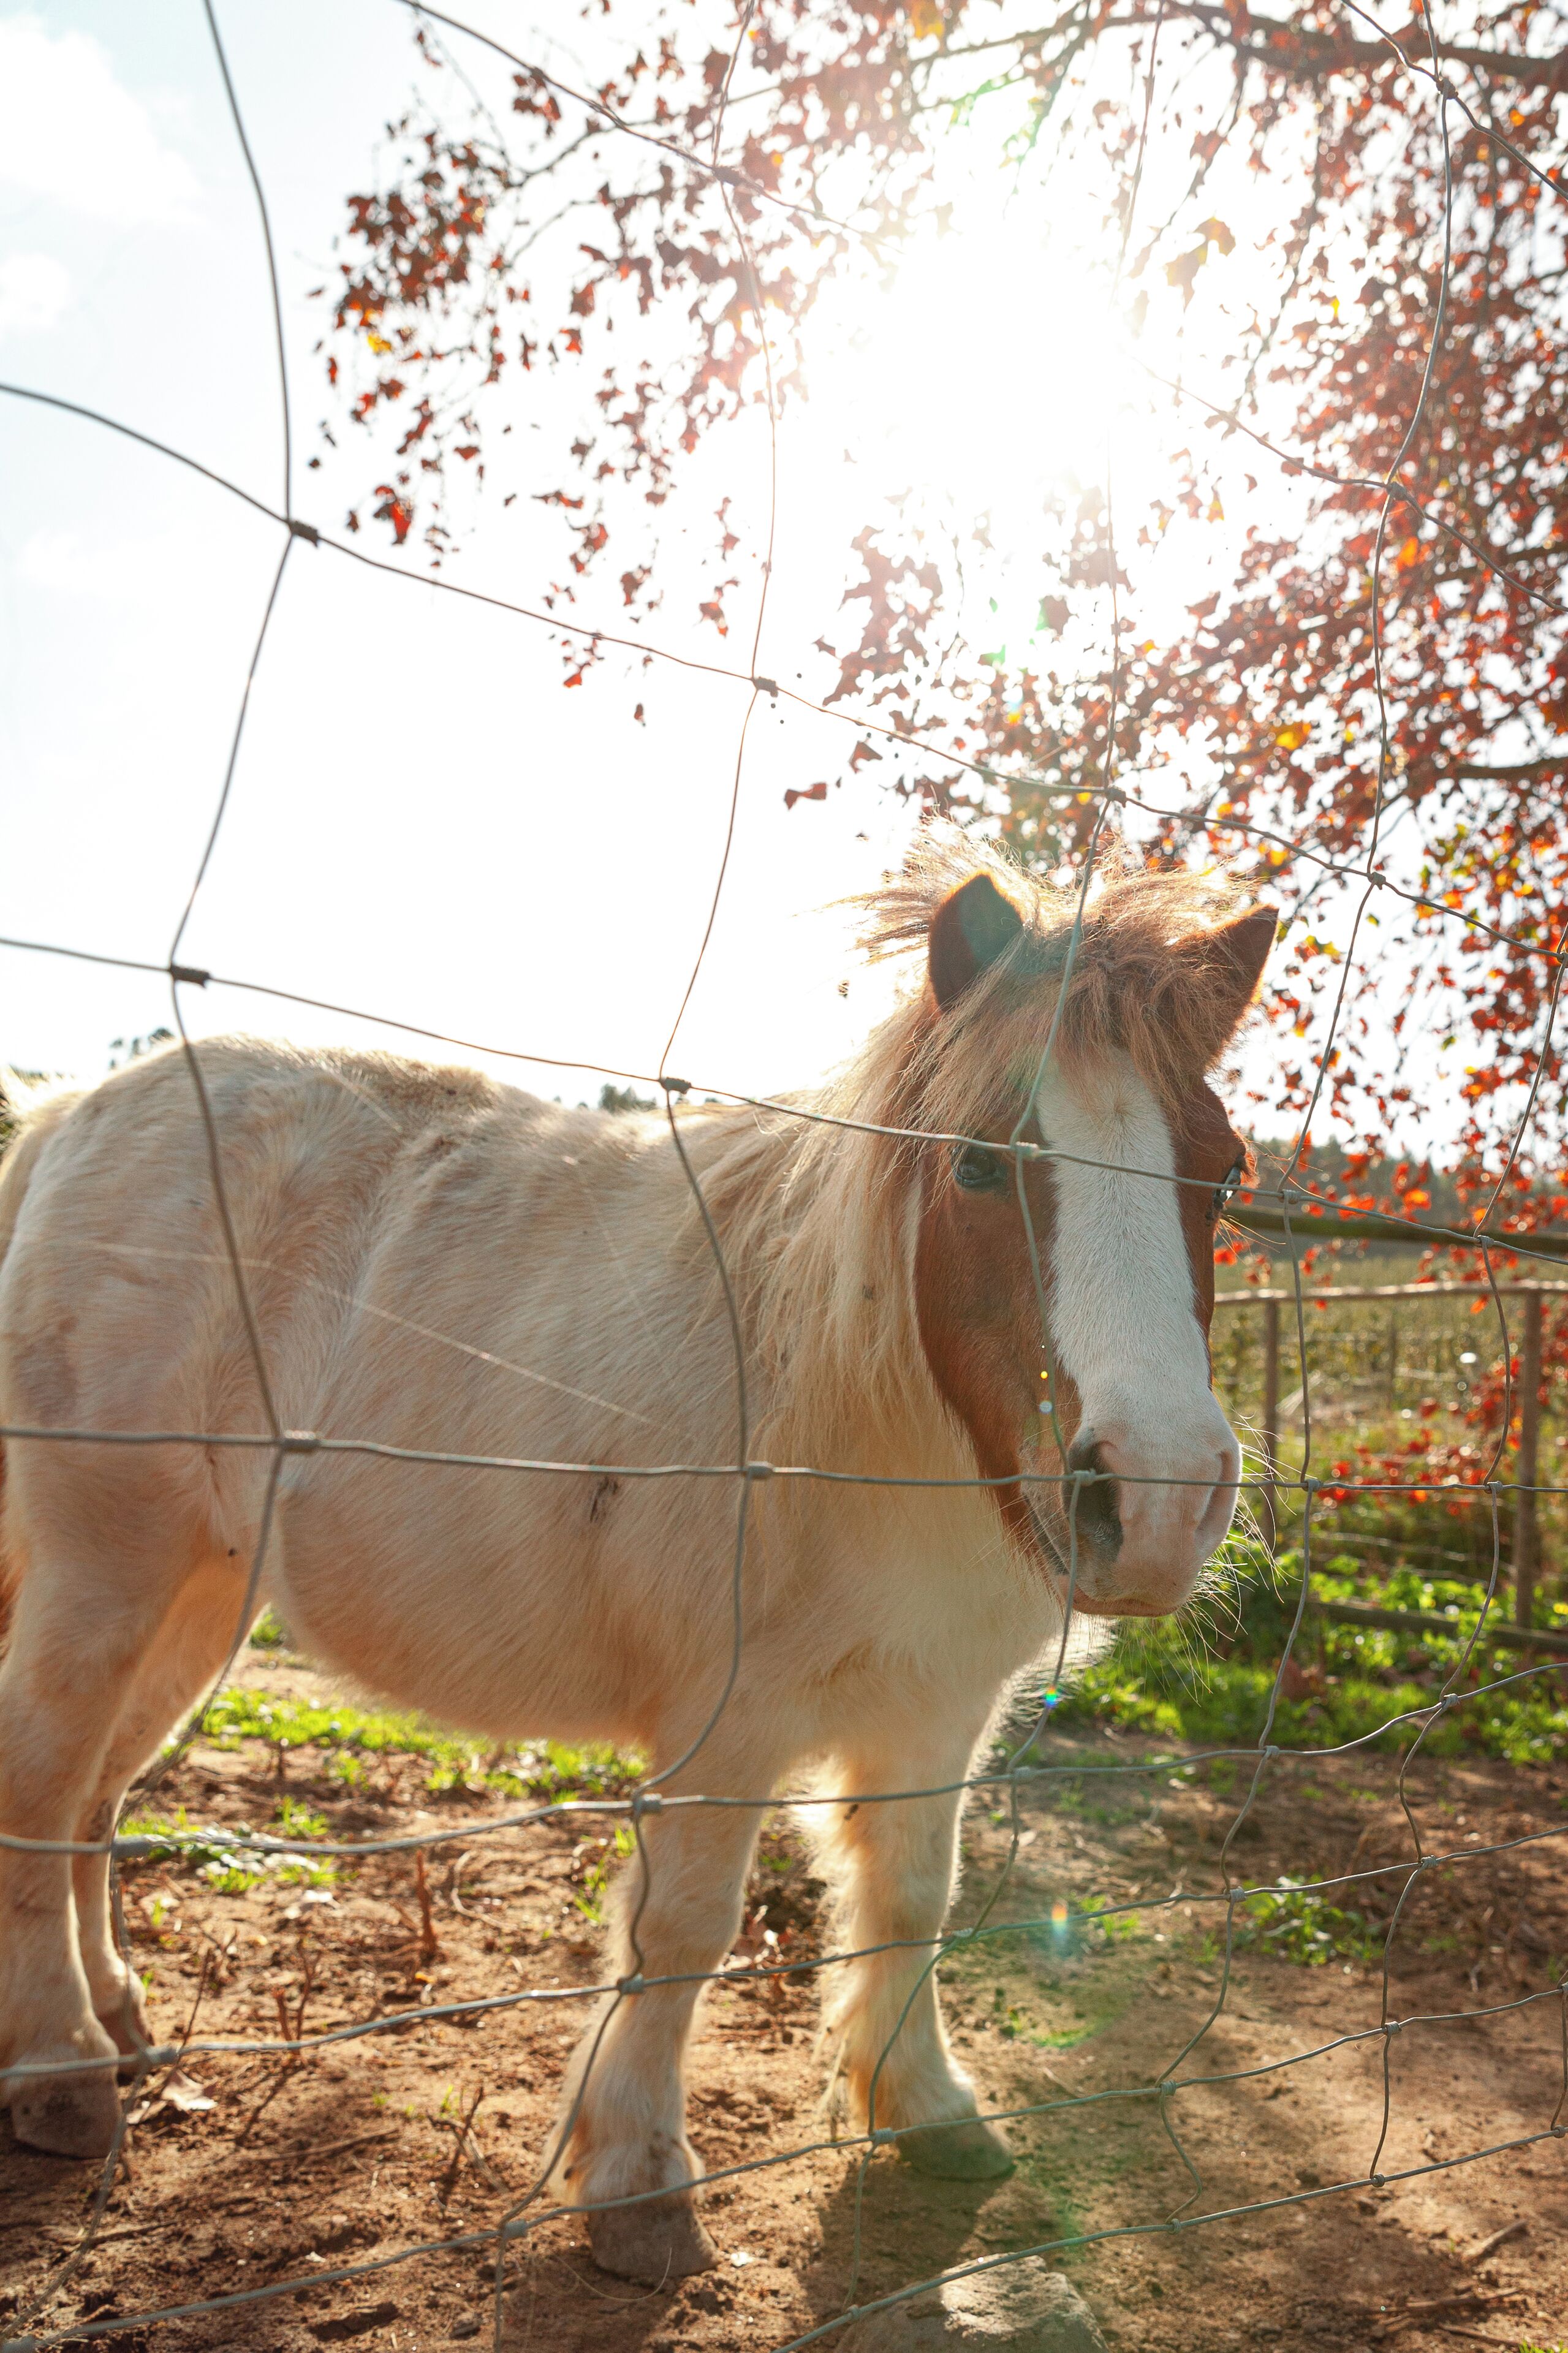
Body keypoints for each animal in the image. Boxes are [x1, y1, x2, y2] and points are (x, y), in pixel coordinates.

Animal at [0, 833, 1273, 2281]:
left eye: (1224, 1170)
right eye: (975, 1165)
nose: (1157, 1496)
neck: (868, 1425)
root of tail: (77, 1112)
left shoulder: (937, 1713)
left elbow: (911, 1897)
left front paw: (926, 2108)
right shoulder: (725, 1729)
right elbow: (680, 1934)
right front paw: (637, 2186)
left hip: (201, 1597)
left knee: (101, 1791)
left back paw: (117, 2016)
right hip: (105, 1575)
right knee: (45, 1781)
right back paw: (61, 2071)